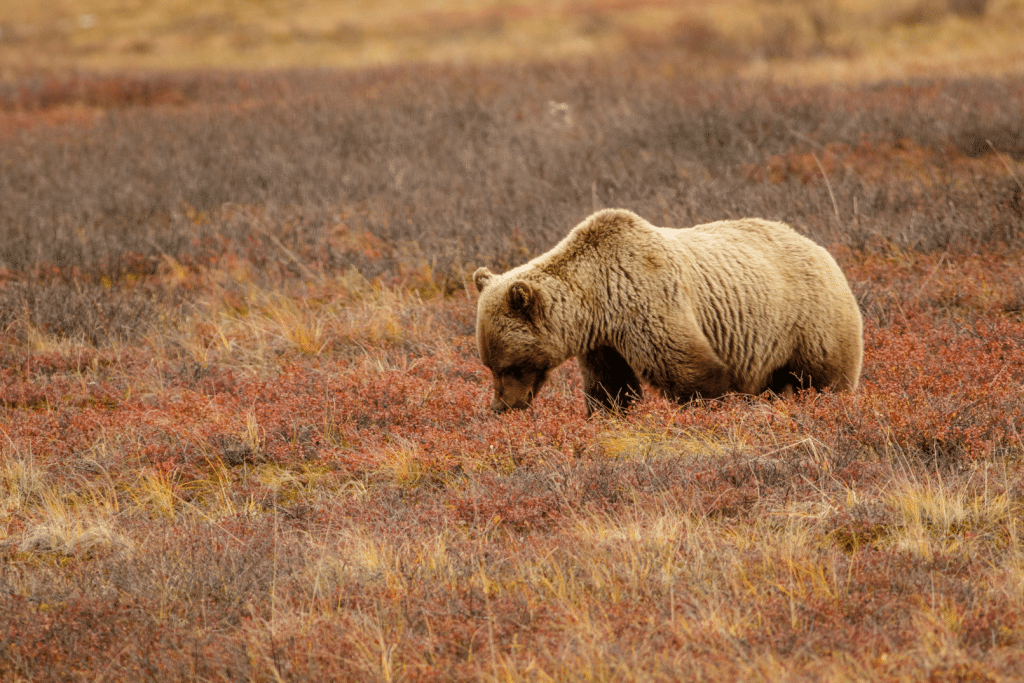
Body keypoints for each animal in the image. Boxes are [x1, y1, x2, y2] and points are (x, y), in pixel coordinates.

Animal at [473, 208, 863, 415]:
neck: (598, 304)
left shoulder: (647, 300)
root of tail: (823, 250)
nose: (503, 406)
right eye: (489, 364)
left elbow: (688, 370)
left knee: (826, 378)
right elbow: (609, 386)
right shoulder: (603, 343)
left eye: (510, 365)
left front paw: (707, 407)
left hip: (809, 322)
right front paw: (609, 414)